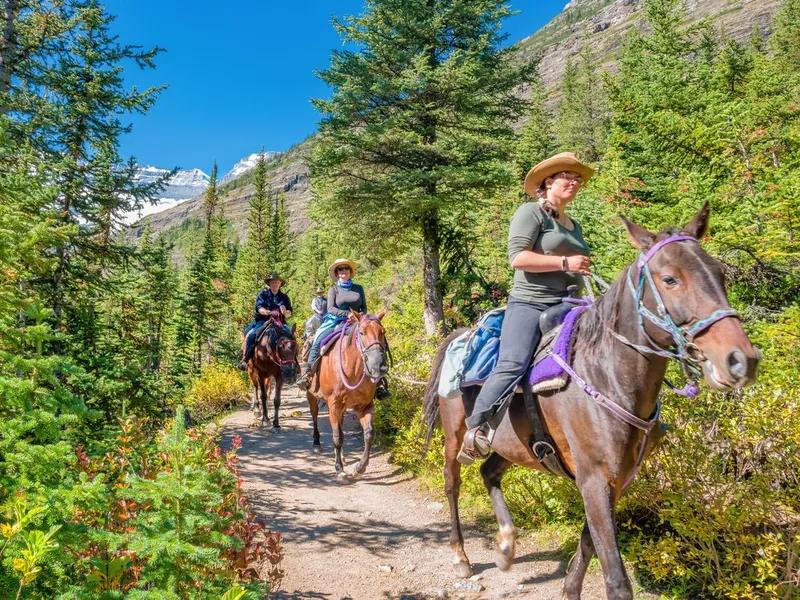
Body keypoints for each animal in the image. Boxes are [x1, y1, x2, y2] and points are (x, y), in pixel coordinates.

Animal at [304, 312, 390, 480]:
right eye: (361, 332)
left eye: (382, 331)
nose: (379, 366)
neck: (353, 369)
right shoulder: (333, 404)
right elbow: (337, 436)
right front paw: (339, 469)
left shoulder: (364, 406)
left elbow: (369, 434)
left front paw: (359, 468)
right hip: (312, 396)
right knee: (315, 416)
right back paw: (317, 444)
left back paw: (342, 457)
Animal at [422, 204, 760, 596]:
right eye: (669, 279)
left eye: (719, 273)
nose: (741, 359)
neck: (608, 376)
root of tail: (461, 334)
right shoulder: (594, 478)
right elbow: (615, 577)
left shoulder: (614, 479)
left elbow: (588, 542)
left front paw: (569, 589)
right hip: (454, 435)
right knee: (452, 483)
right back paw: (461, 556)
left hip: (512, 445)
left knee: (488, 471)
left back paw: (506, 547)